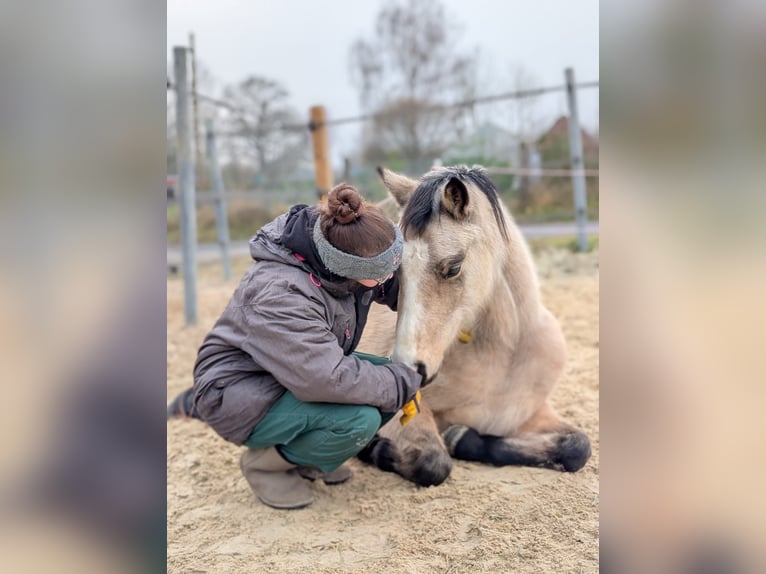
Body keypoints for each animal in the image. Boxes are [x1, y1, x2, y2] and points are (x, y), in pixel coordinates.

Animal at [355, 165, 592, 487]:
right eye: (395, 273)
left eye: (454, 267)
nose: (407, 368)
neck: (504, 361)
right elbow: (433, 462)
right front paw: (375, 448)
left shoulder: (532, 414)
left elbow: (578, 447)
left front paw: (460, 436)